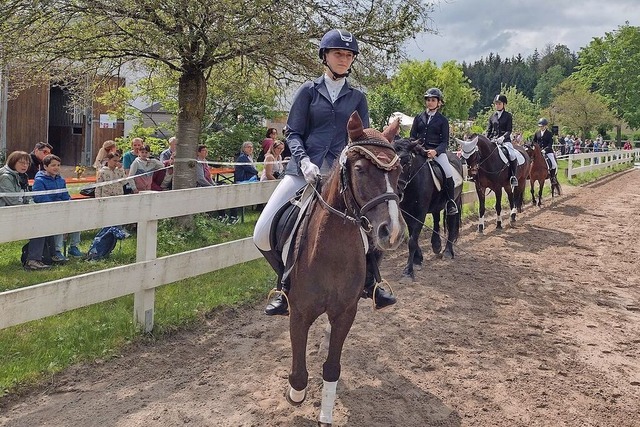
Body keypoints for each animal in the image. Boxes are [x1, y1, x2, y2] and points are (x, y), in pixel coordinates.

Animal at [284, 112, 404, 426]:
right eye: (360, 169)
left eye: (398, 171)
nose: (392, 232)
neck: (332, 255)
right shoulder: (299, 313)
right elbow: (299, 374)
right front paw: (296, 395)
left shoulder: (345, 313)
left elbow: (332, 367)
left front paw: (325, 414)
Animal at [392, 139, 462, 282]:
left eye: (407, 162)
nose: (397, 192)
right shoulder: (407, 213)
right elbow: (412, 236)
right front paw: (417, 260)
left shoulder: (421, 213)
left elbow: (412, 240)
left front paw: (408, 272)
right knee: (436, 218)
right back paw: (436, 245)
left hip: (455, 201)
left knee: (452, 223)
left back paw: (447, 252)